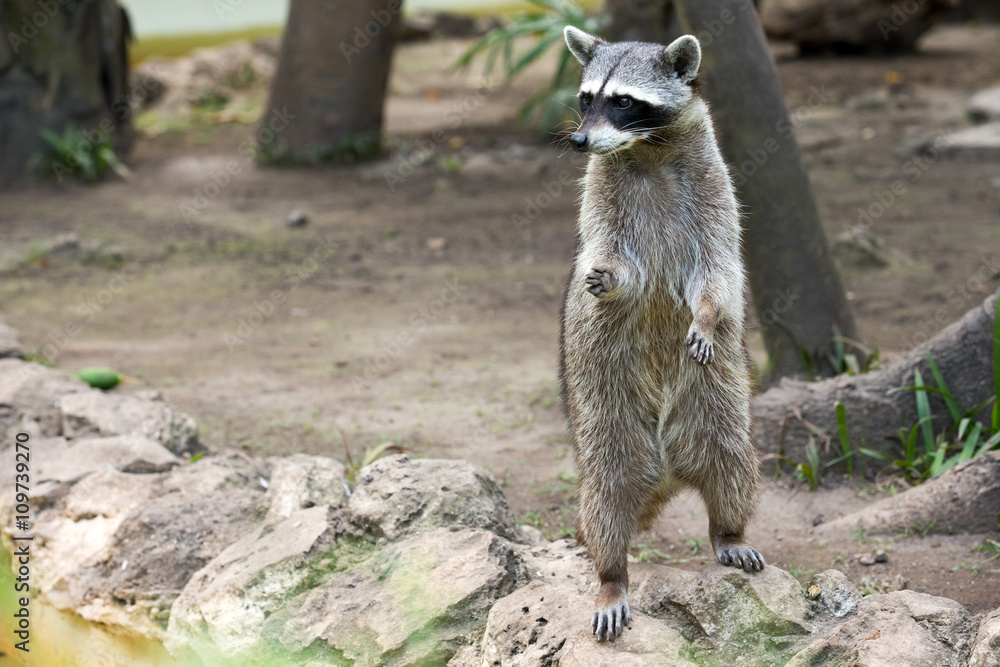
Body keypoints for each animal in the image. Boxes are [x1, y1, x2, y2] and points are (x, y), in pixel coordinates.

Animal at [558, 27, 765, 642]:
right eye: (586, 98)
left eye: (624, 101)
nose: (578, 140)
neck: (643, 150)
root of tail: (667, 472)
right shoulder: (601, 201)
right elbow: (611, 258)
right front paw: (608, 279)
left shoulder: (715, 190)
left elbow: (719, 270)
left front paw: (706, 314)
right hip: (604, 422)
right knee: (605, 502)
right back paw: (612, 576)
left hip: (716, 405)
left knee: (733, 465)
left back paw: (729, 531)